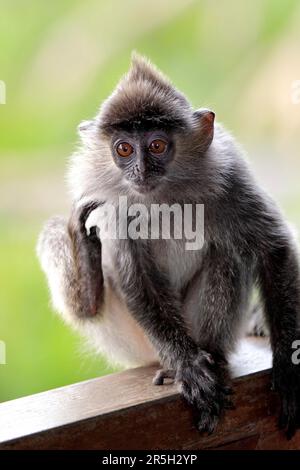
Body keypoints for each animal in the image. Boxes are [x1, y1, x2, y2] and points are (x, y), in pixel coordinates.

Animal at [37, 55, 300, 436]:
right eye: (124, 148)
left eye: (157, 146)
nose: (141, 170)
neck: (163, 198)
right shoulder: (113, 207)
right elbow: (137, 280)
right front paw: (188, 368)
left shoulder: (231, 176)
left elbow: (273, 249)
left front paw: (289, 369)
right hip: (132, 336)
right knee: (59, 240)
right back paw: (88, 276)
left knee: (226, 253)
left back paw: (214, 355)